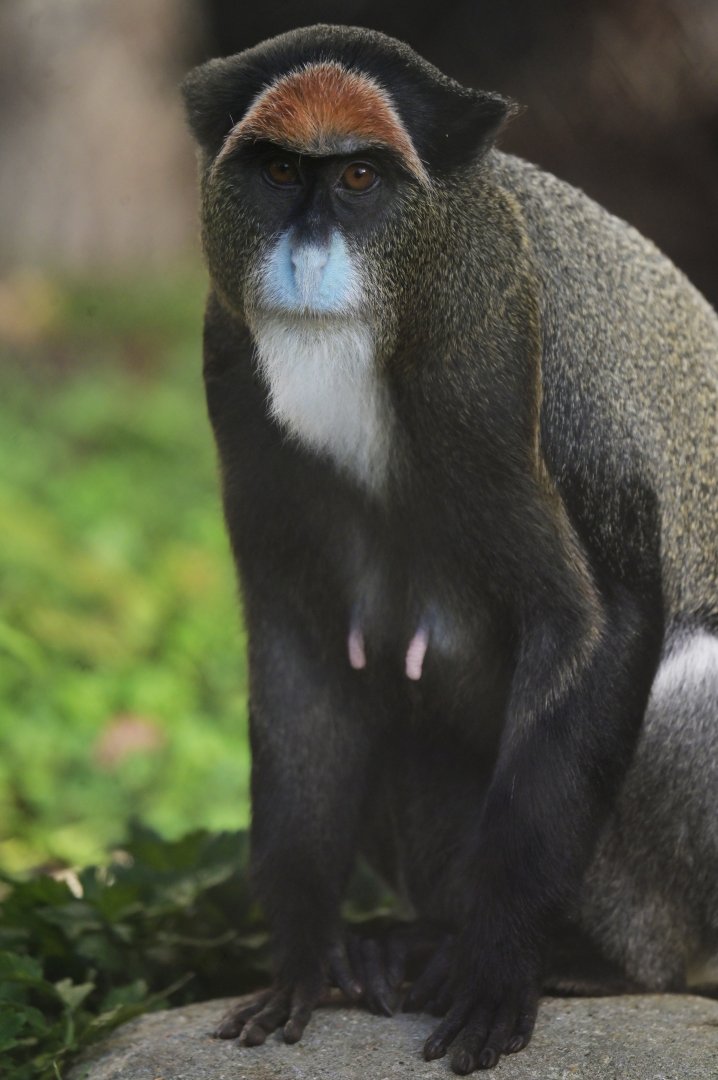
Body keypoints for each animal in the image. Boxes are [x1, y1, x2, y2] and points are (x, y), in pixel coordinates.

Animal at [181, 24, 718, 1074]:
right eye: (278, 170)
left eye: (359, 177)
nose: (306, 253)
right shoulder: (228, 360)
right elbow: (305, 645)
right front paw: (304, 953)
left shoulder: (499, 358)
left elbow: (603, 617)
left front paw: (498, 960)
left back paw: (593, 960)